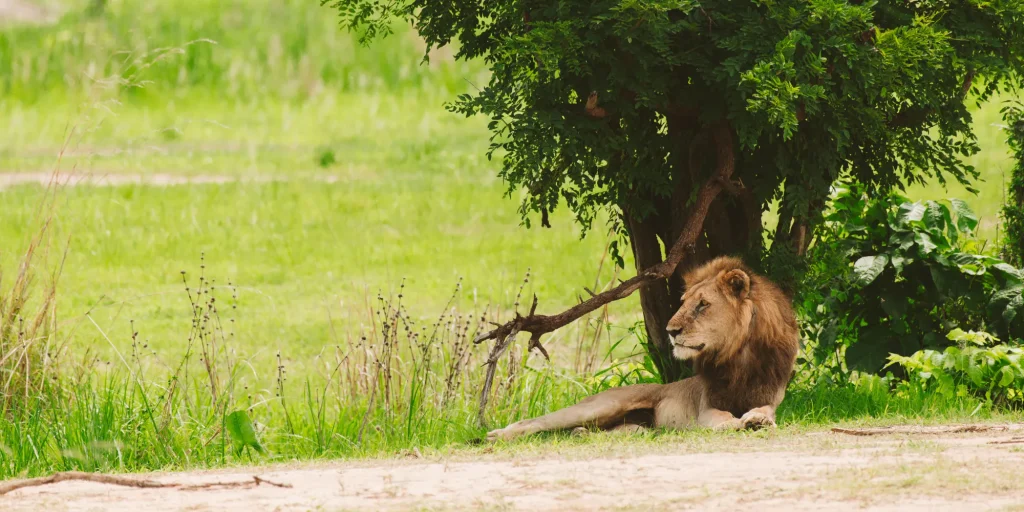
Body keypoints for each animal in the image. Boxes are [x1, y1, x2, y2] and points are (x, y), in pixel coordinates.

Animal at [487, 256, 800, 441]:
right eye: (684, 302)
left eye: (703, 305)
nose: (671, 331)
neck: (738, 356)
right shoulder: (706, 408)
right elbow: (723, 418)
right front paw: (736, 423)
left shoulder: (770, 396)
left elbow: (764, 410)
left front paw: (757, 419)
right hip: (601, 406)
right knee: (534, 421)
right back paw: (496, 434)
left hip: (633, 428)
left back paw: (579, 435)